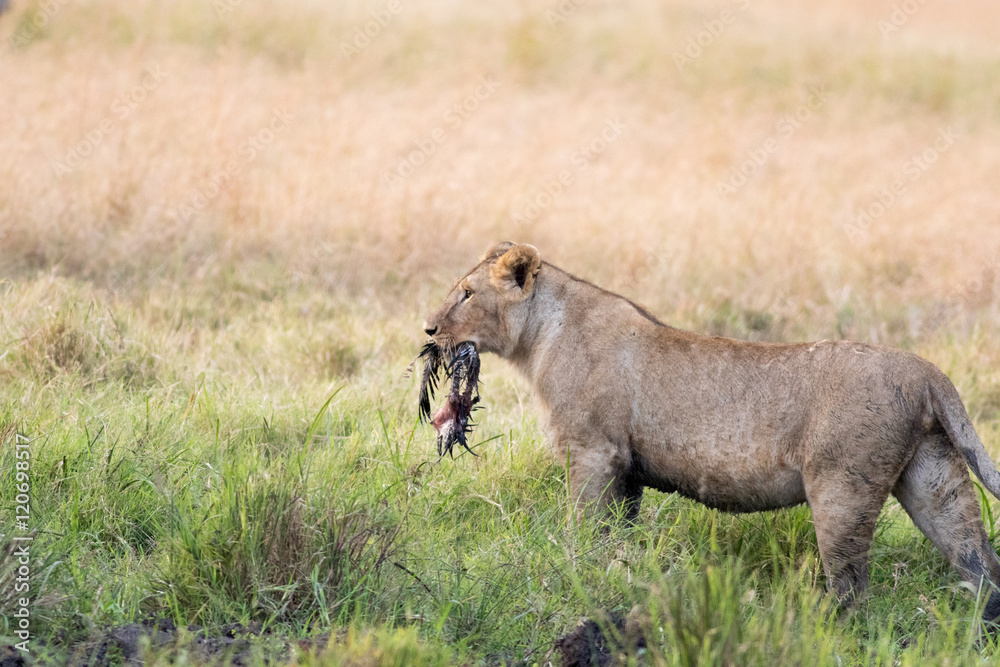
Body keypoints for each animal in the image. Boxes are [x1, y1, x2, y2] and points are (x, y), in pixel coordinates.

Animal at [421, 241, 1000, 623]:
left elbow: (583, 527)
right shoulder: (625, 468)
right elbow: (618, 535)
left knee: (853, 585)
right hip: (933, 477)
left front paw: (579, 572)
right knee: (978, 557)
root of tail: (926, 371)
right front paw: (616, 574)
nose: (428, 328)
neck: (543, 333)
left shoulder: (592, 453)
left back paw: (829, 628)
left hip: (842, 488)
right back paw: (983, 626)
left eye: (467, 294)